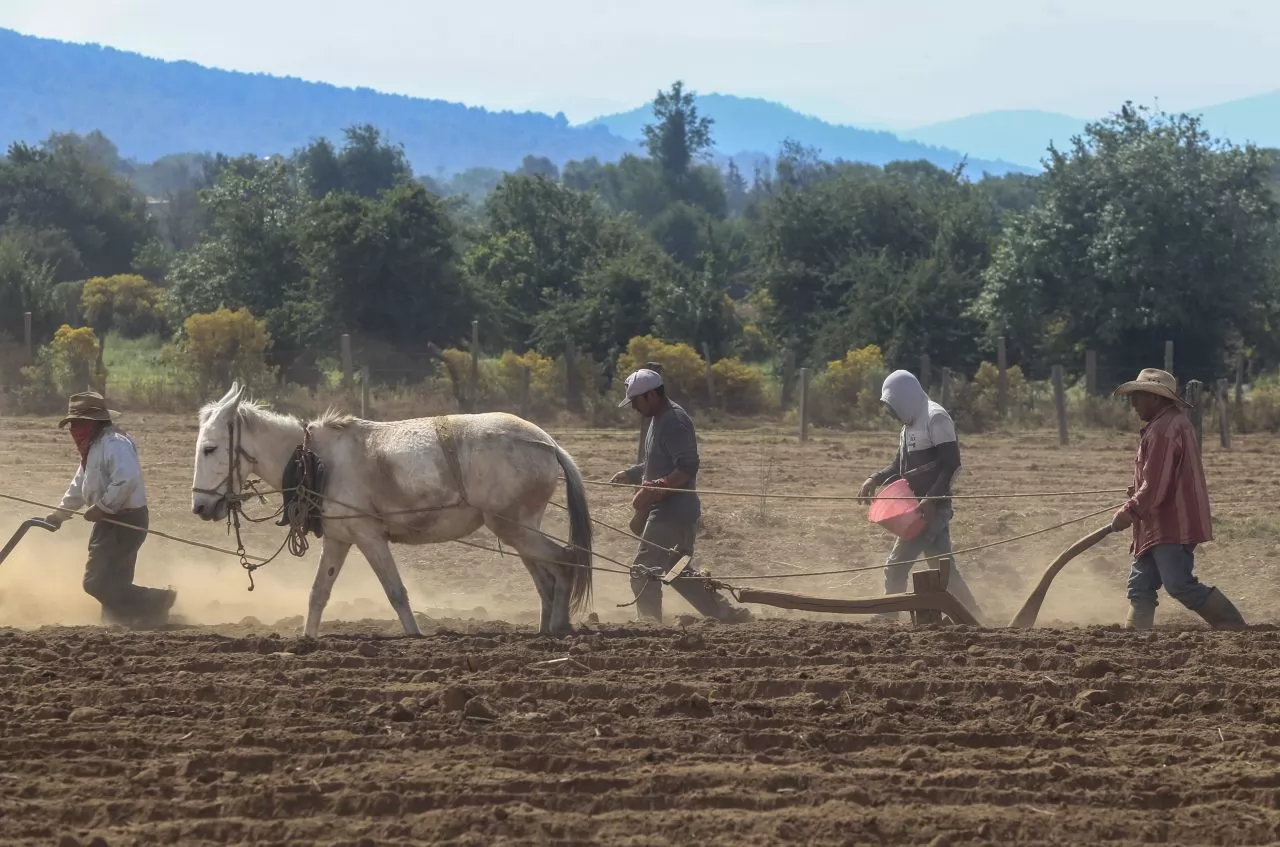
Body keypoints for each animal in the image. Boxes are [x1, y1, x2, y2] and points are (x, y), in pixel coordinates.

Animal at [188, 383, 593, 637]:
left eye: (210, 448)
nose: (199, 505)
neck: (316, 460)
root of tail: (547, 442)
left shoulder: (369, 536)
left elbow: (395, 591)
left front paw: (415, 636)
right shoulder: (338, 539)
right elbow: (318, 592)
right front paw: (307, 640)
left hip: (515, 527)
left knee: (564, 562)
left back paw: (560, 628)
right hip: (519, 530)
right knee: (545, 578)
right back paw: (543, 630)